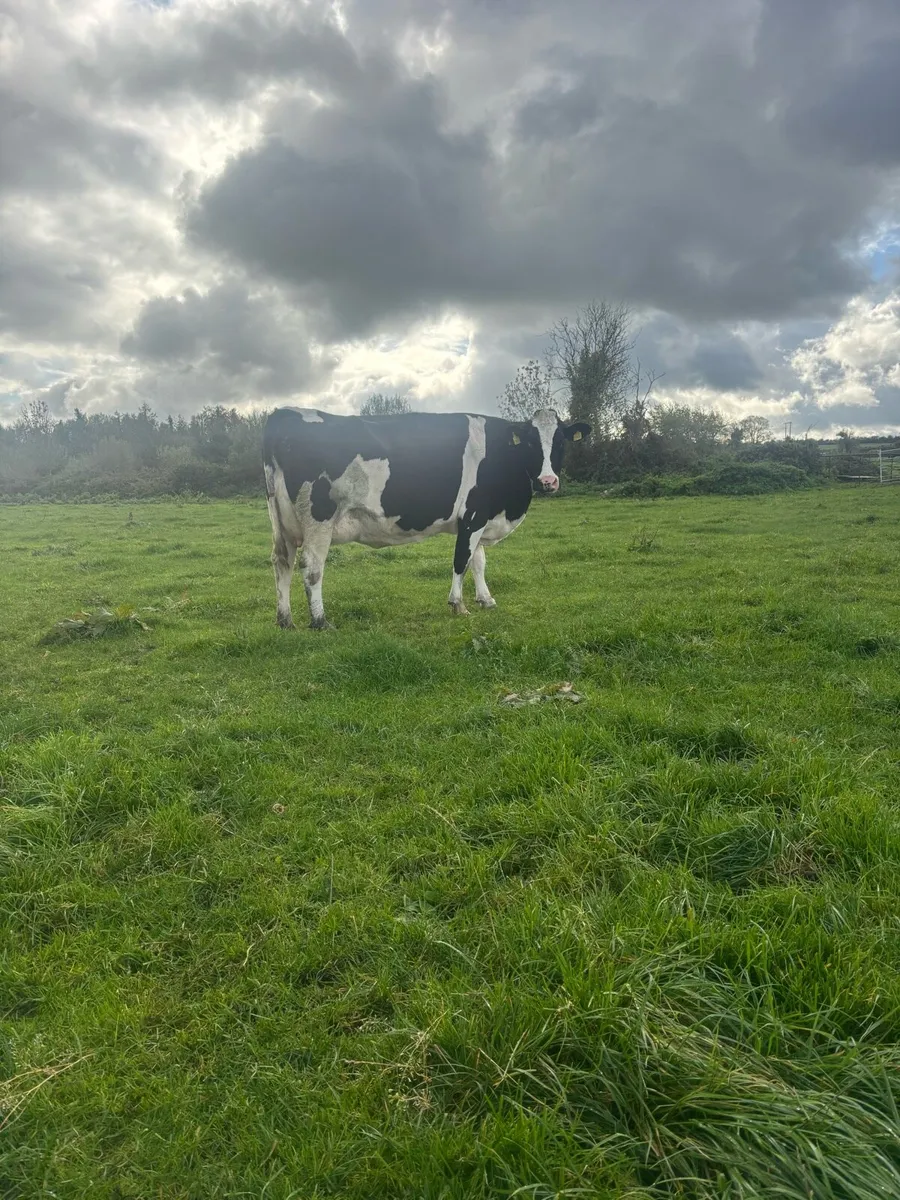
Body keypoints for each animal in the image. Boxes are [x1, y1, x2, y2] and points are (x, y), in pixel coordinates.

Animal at [262, 406, 590, 629]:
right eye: (532, 443)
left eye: (561, 442)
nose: (548, 481)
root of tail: (285, 413)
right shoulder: (473, 514)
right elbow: (462, 560)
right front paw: (458, 605)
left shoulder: (480, 518)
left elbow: (479, 562)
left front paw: (486, 600)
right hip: (318, 517)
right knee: (311, 566)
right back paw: (320, 621)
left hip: (281, 520)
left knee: (282, 561)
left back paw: (285, 620)